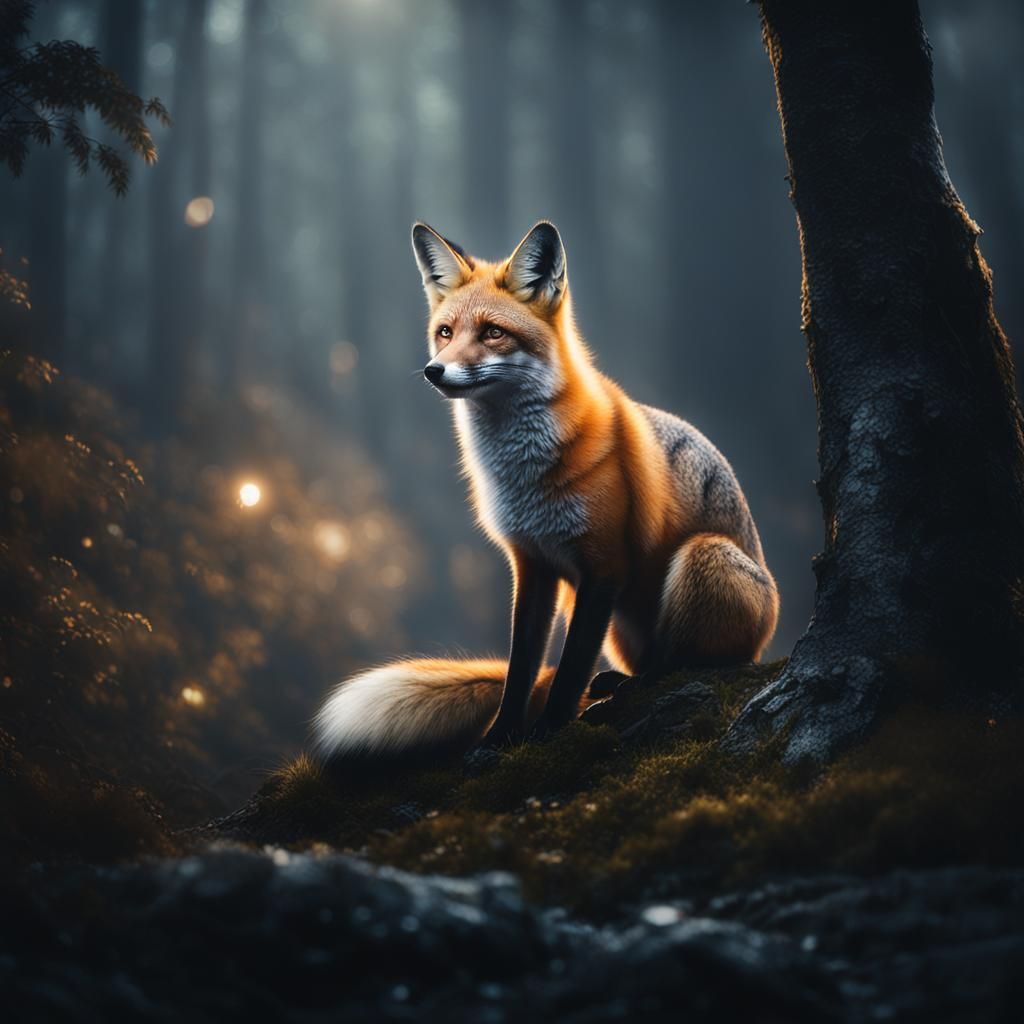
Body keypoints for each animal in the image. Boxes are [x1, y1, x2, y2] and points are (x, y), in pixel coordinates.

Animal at [312, 220, 779, 762]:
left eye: (493, 332)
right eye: (445, 333)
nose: (434, 370)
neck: (524, 477)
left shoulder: (604, 567)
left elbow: (569, 668)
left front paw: (549, 732)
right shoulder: (532, 564)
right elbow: (521, 671)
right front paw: (497, 740)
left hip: (703, 556)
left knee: (683, 664)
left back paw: (630, 689)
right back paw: (615, 685)